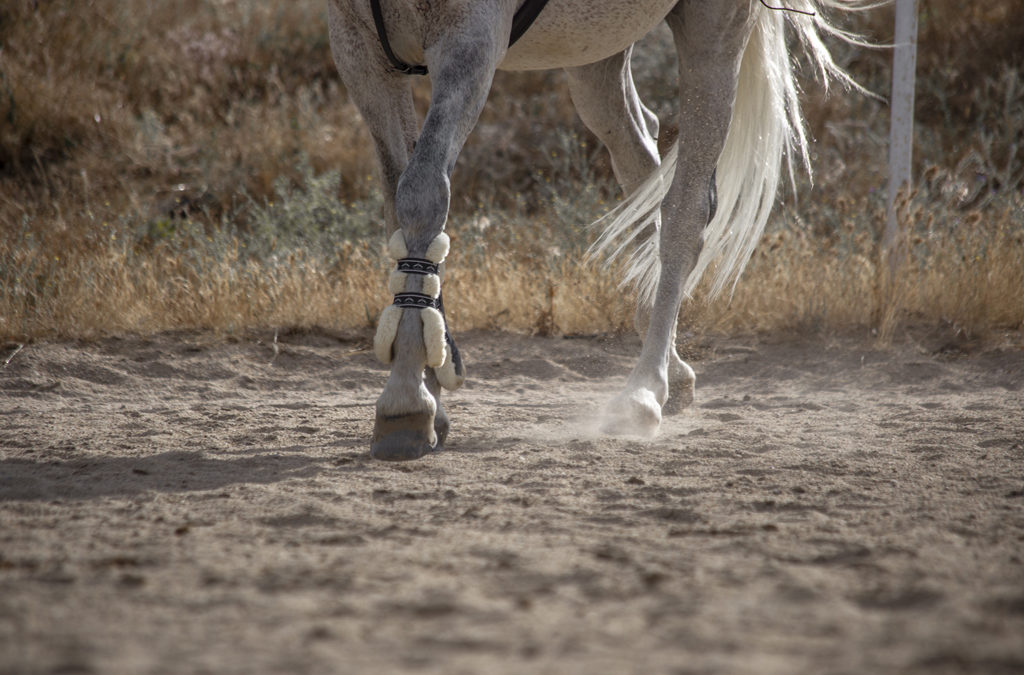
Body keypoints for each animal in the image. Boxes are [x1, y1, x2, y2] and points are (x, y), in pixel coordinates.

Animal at [327, 0, 872, 458]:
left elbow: (422, 191)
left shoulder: (470, 39)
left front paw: (406, 399)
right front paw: (430, 391)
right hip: (597, 51)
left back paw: (644, 392)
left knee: (686, 209)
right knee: (640, 158)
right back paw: (674, 371)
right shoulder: (360, 51)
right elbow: (398, 199)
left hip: (712, 25)